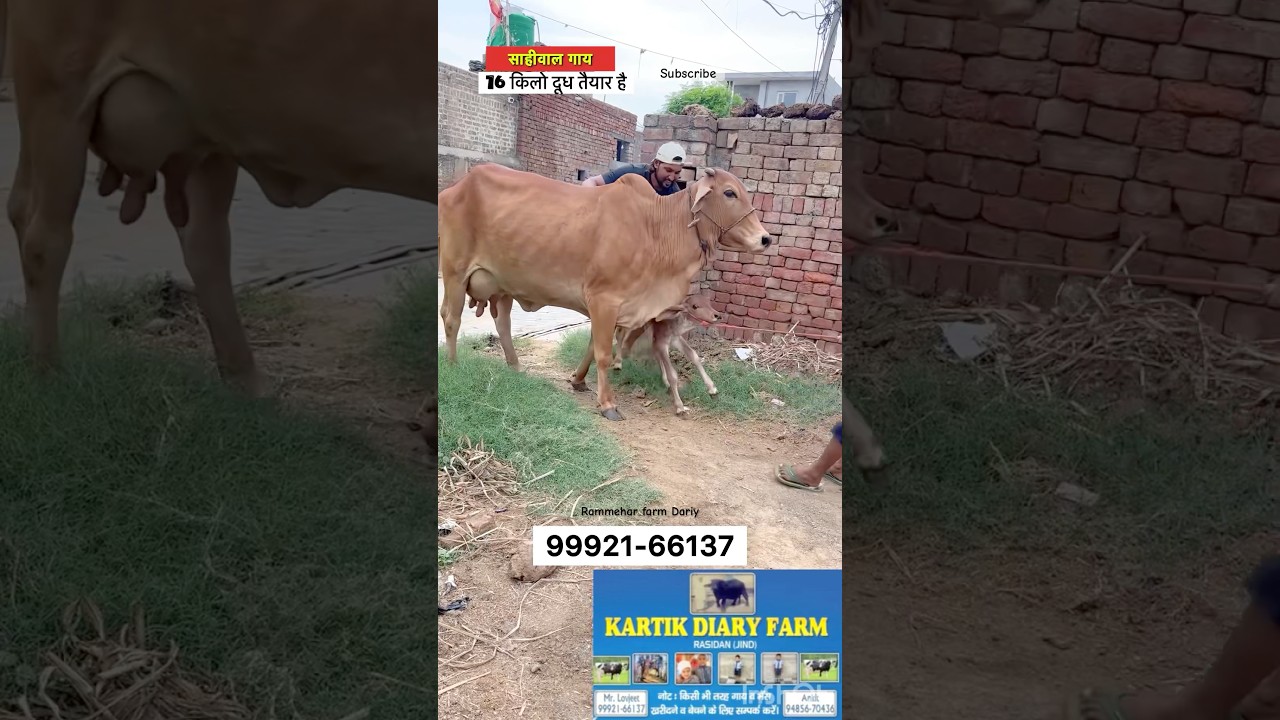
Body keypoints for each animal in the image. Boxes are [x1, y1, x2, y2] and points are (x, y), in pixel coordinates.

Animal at [3, 0, 434, 403]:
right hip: (57, 90)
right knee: (44, 235)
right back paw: (47, 374)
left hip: (208, 124)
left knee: (203, 241)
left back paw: (246, 380)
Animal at [439, 164, 771, 421]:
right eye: (729, 193)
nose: (765, 239)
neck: (656, 228)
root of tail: (455, 187)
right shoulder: (604, 300)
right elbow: (602, 352)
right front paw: (608, 404)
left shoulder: (611, 307)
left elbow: (594, 346)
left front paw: (578, 381)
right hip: (455, 272)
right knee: (452, 319)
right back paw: (453, 366)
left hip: (503, 284)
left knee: (503, 323)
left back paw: (516, 367)